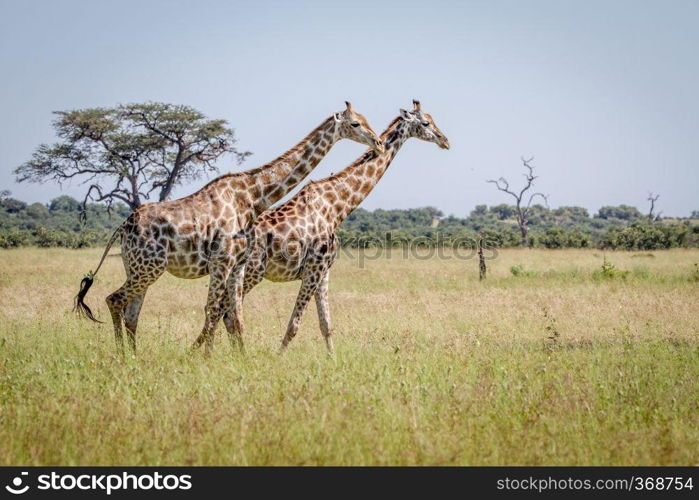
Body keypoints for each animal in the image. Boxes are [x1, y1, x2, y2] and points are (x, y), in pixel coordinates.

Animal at [74, 103, 386, 358]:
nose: (379, 142)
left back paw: (134, 356)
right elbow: (213, 309)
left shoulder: (238, 263)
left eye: (365, 119)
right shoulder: (221, 260)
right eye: (355, 123)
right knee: (114, 300)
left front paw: (241, 358)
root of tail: (124, 225)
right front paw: (207, 358)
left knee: (132, 311)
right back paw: (123, 355)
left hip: (139, 268)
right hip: (149, 267)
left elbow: (235, 315)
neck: (252, 196)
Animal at [227, 99, 452, 354]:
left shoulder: (324, 271)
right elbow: (294, 325)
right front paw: (278, 357)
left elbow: (326, 324)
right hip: (253, 272)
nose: (445, 141)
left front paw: (331, 358)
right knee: (229, 314)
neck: (337, 206)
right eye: (425, 123)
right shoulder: (313, 269)